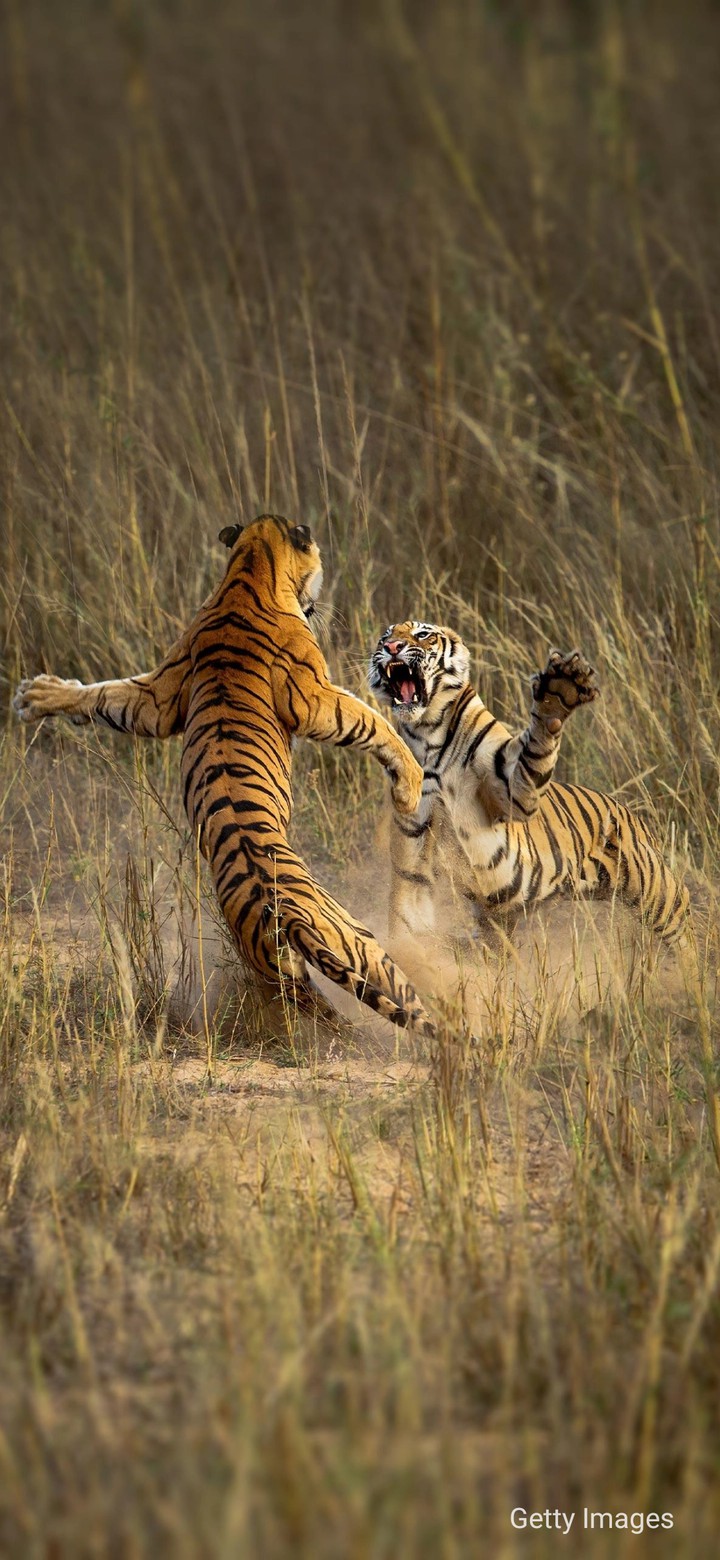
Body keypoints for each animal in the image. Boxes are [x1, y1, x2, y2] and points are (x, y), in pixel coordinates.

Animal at [13, 515, 435, 1036]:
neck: (248, 568)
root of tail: (284, 917)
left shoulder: (159, 696)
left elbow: (106, 695)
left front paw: (38, 696)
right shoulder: (313, 697)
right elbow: (371, 721)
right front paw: (410, 784)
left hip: (291, 968)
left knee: (327, 1009)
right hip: (359, 940)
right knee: (405, 1001)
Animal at [368, 620, 690, 948]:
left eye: (423, 634)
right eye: (385, 637)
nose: (392, 647)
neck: (427, 731)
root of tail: (634, 817)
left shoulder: (513, 790)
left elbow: (536, 745)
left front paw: (559, 690)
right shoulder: (415, 837)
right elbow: (409, 908)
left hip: (654, 890)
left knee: (683, 919)